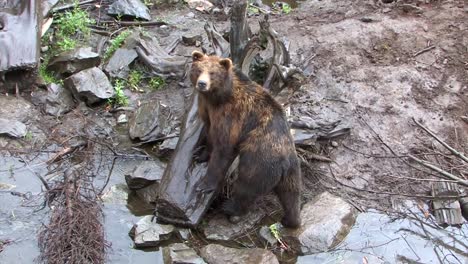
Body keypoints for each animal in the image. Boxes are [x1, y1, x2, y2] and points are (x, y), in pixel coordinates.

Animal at [191, 50, 304, 228]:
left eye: (213, 73)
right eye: (199, 69)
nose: (202, 84)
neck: (217, 97)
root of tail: (284, 161)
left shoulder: (232, 117)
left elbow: (222, 149)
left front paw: (204, 185)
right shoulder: (207, 110)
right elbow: (209, 134)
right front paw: (199, 155)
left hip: (259, 160)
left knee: (247, 185)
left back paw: (229, 207)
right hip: (292, 168)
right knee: (291, 194)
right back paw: (291, 220)